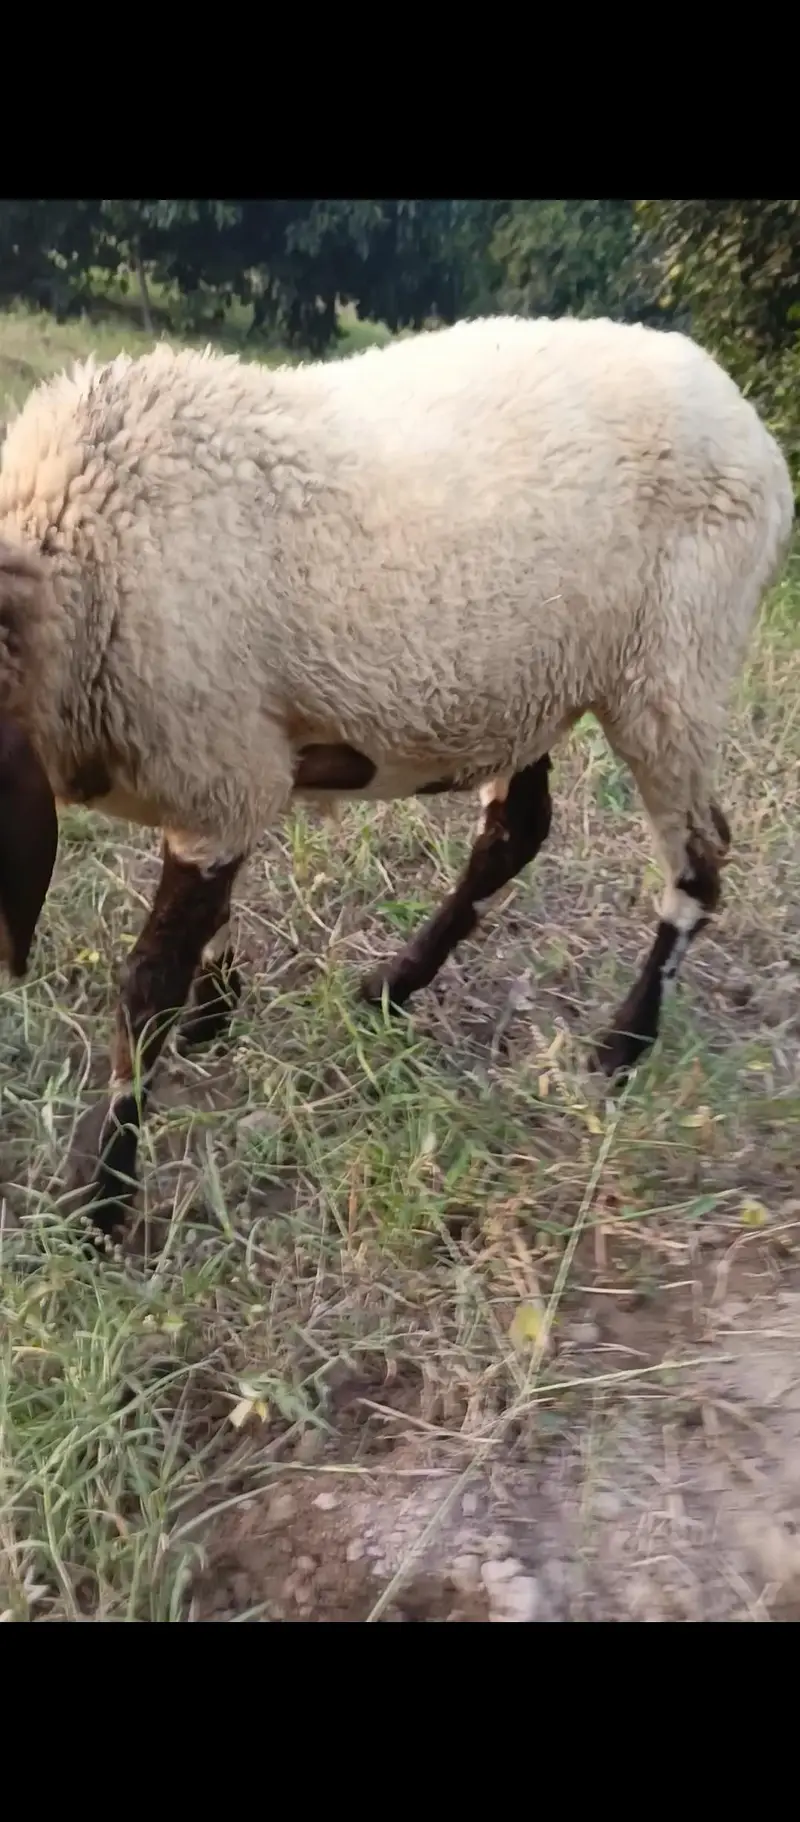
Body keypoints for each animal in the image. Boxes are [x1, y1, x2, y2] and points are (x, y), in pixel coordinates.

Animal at [0, 314, 793, 1240]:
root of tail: (741, 413)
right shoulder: (217, 779)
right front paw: (216, 1012)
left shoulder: (218, 770)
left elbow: (145, 988)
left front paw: (101, 1197)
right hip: (527, 683)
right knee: (517, 831)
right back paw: (391, 988)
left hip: (675, 667)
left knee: (700, 857)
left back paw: (622, 1045)